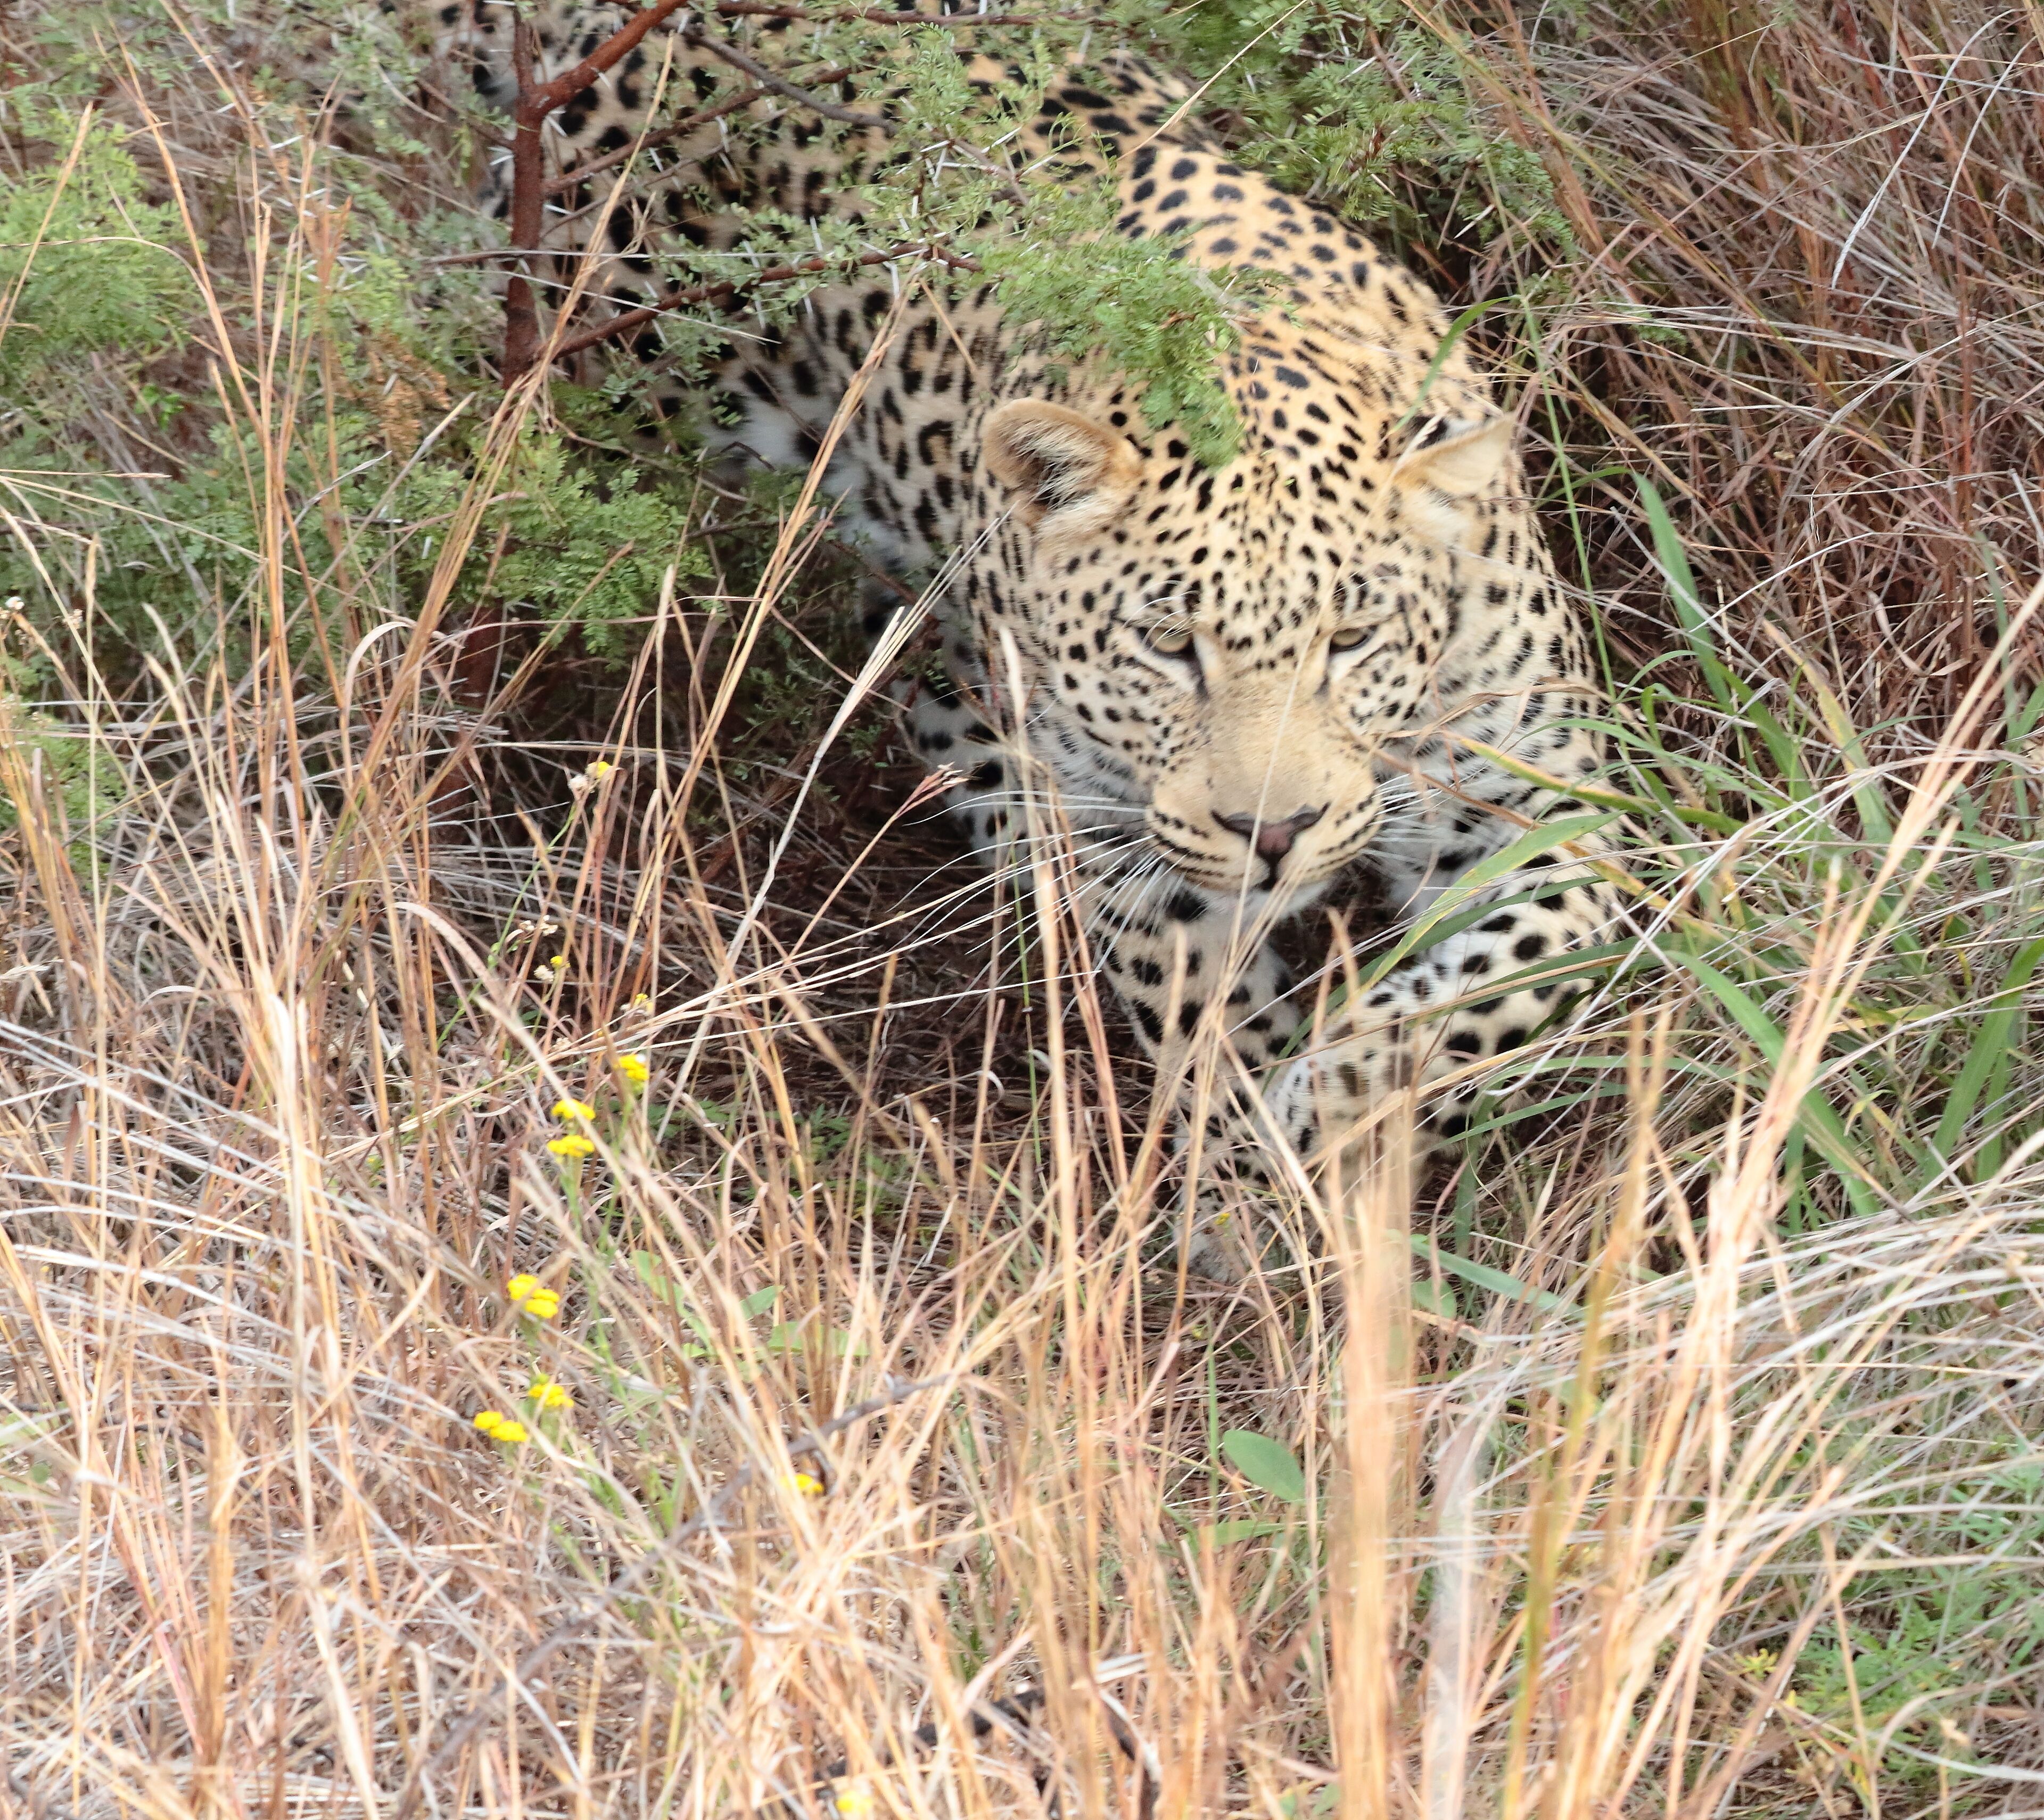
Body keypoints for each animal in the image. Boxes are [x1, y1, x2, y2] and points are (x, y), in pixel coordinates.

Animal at [436, 1, 1629, 1274]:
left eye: (1352, 637)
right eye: (1167, 642)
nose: (1275, 834)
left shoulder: (1543, 809)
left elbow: (1498, 993)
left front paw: (1332, 1107)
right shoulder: (1136, 838)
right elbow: (1207, 1023)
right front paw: (1250, 1182)